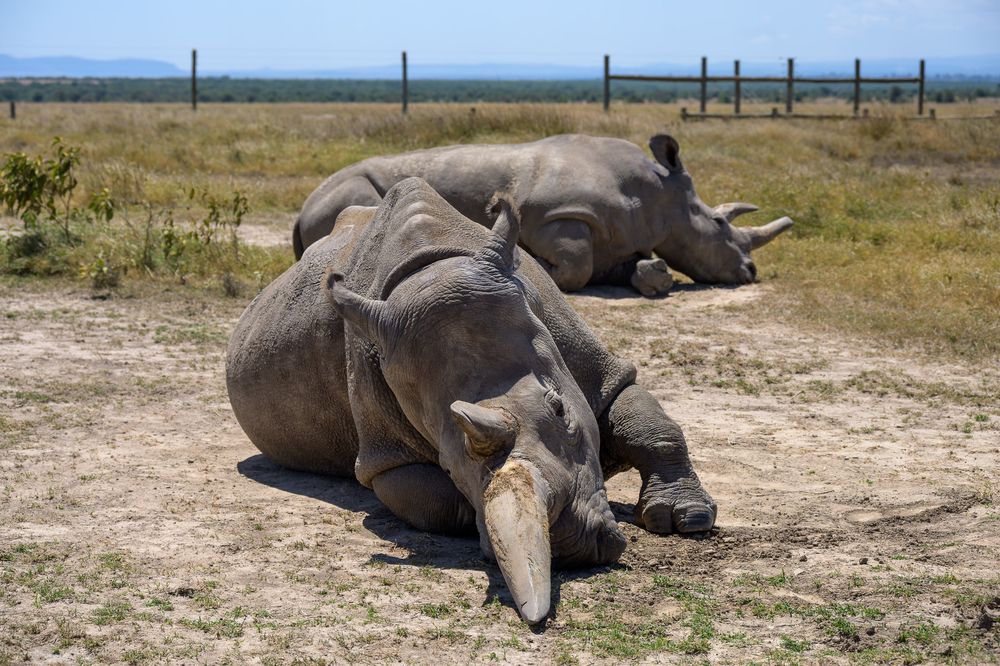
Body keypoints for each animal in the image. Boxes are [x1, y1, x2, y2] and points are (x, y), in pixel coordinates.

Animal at [228, 178, 717, 624]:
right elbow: (436, 501)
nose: (564, 543)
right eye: (447, 456)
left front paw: (686, 519)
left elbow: (642, 417)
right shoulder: (385, 455)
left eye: (560, 408)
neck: (432, 271)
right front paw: (488, 531)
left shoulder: (585, 357)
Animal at [293, 133, 793, 296]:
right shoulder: (558, 214)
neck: (656, 193)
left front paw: (654, 275)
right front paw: (534, 265)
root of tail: (300, 211)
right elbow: (575, 266)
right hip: (347, 190)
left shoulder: (618, 240)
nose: (750, 272)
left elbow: (623, 266)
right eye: (719, 223)